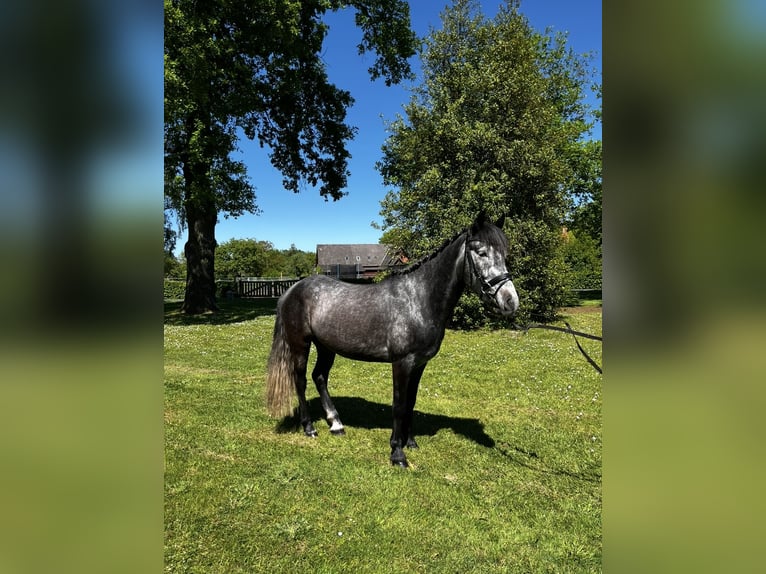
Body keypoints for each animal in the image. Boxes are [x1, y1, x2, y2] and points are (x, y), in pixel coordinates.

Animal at [266, 216, 520, 468]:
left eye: (504, 253)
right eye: (481, 252)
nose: (510, 301)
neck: (418, 299)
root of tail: (291, 290)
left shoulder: (419, 364)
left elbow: (410, 402)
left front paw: (411, 442)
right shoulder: (402, 363)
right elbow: (398, 405)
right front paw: (397, 453)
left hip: (326, 347)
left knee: (319, 377)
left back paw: (336, 424)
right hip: (300, 344)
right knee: (300, 380)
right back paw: (309, 428)